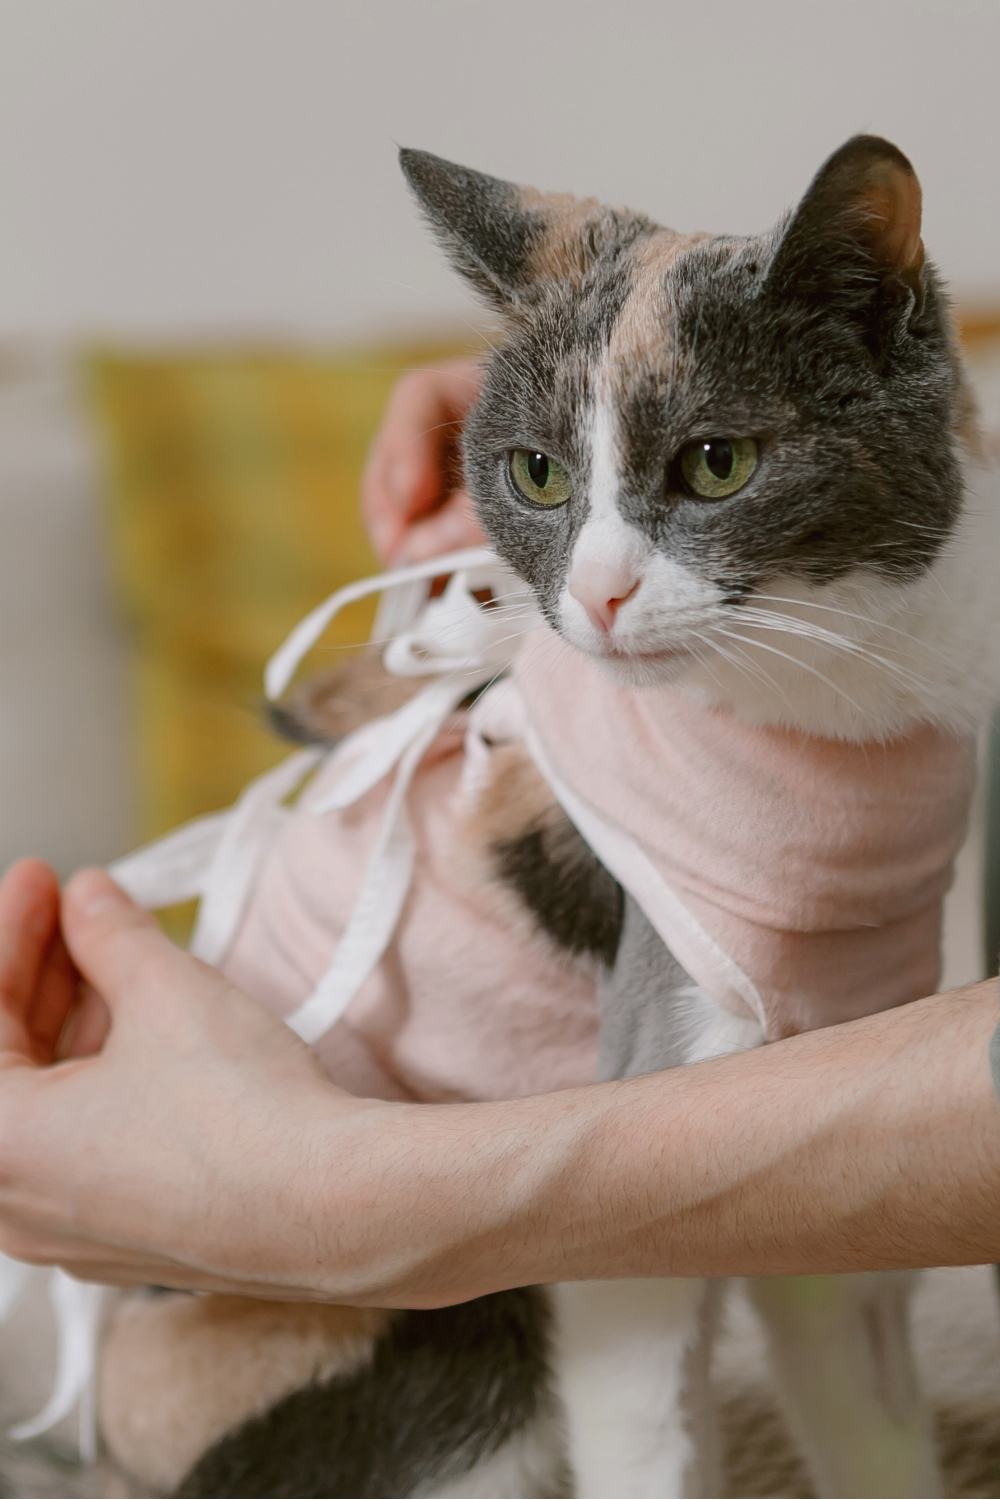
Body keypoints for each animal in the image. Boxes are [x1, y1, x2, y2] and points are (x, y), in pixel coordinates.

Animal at [91, 135, 995, 1494]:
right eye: (537, 473)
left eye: (717, 462)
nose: (602, 594)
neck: (845, 730)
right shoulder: (642, 1111)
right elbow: (646, 1422)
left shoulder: (826, 1134)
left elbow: (861, 1397)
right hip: (437, 1349)